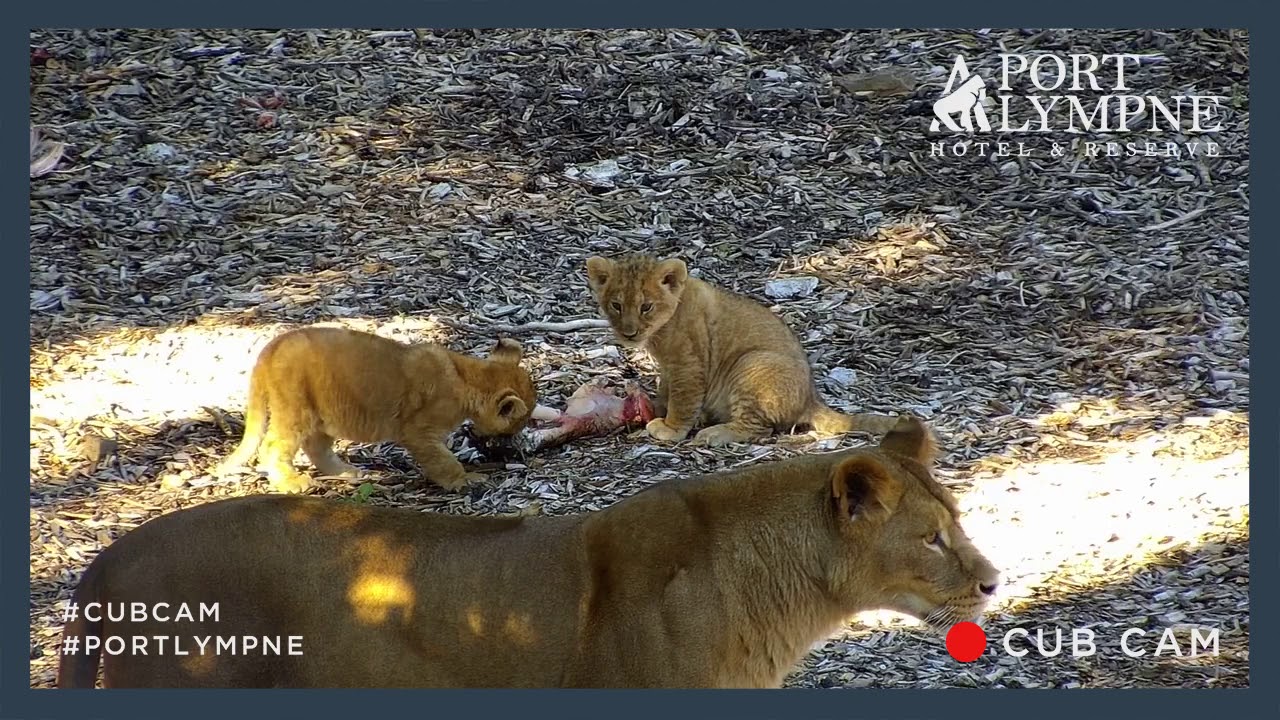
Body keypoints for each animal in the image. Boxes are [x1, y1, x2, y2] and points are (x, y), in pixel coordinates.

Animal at [214, 326, 536, 493]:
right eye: (520, 421)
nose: (514, 439)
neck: (468, 375)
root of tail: (271, 346)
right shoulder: (419, 432)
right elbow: (444, 461)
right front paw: (464, 480)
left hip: (322, 414)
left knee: (316, 448)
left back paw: (348, 473)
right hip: (295, 408)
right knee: (272, 447)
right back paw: (292, 483)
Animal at [584, 254, 900, 447]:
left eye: (646, 306)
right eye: (616, 305)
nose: (629, 333)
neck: (662, 328)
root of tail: (811, 399)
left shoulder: (688, 365)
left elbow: (682, 399)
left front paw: (671, 428)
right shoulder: (670, 368)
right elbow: (666, 390)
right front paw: (655, 407)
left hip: (750, 363)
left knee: (759, 428)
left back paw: (712, 433)